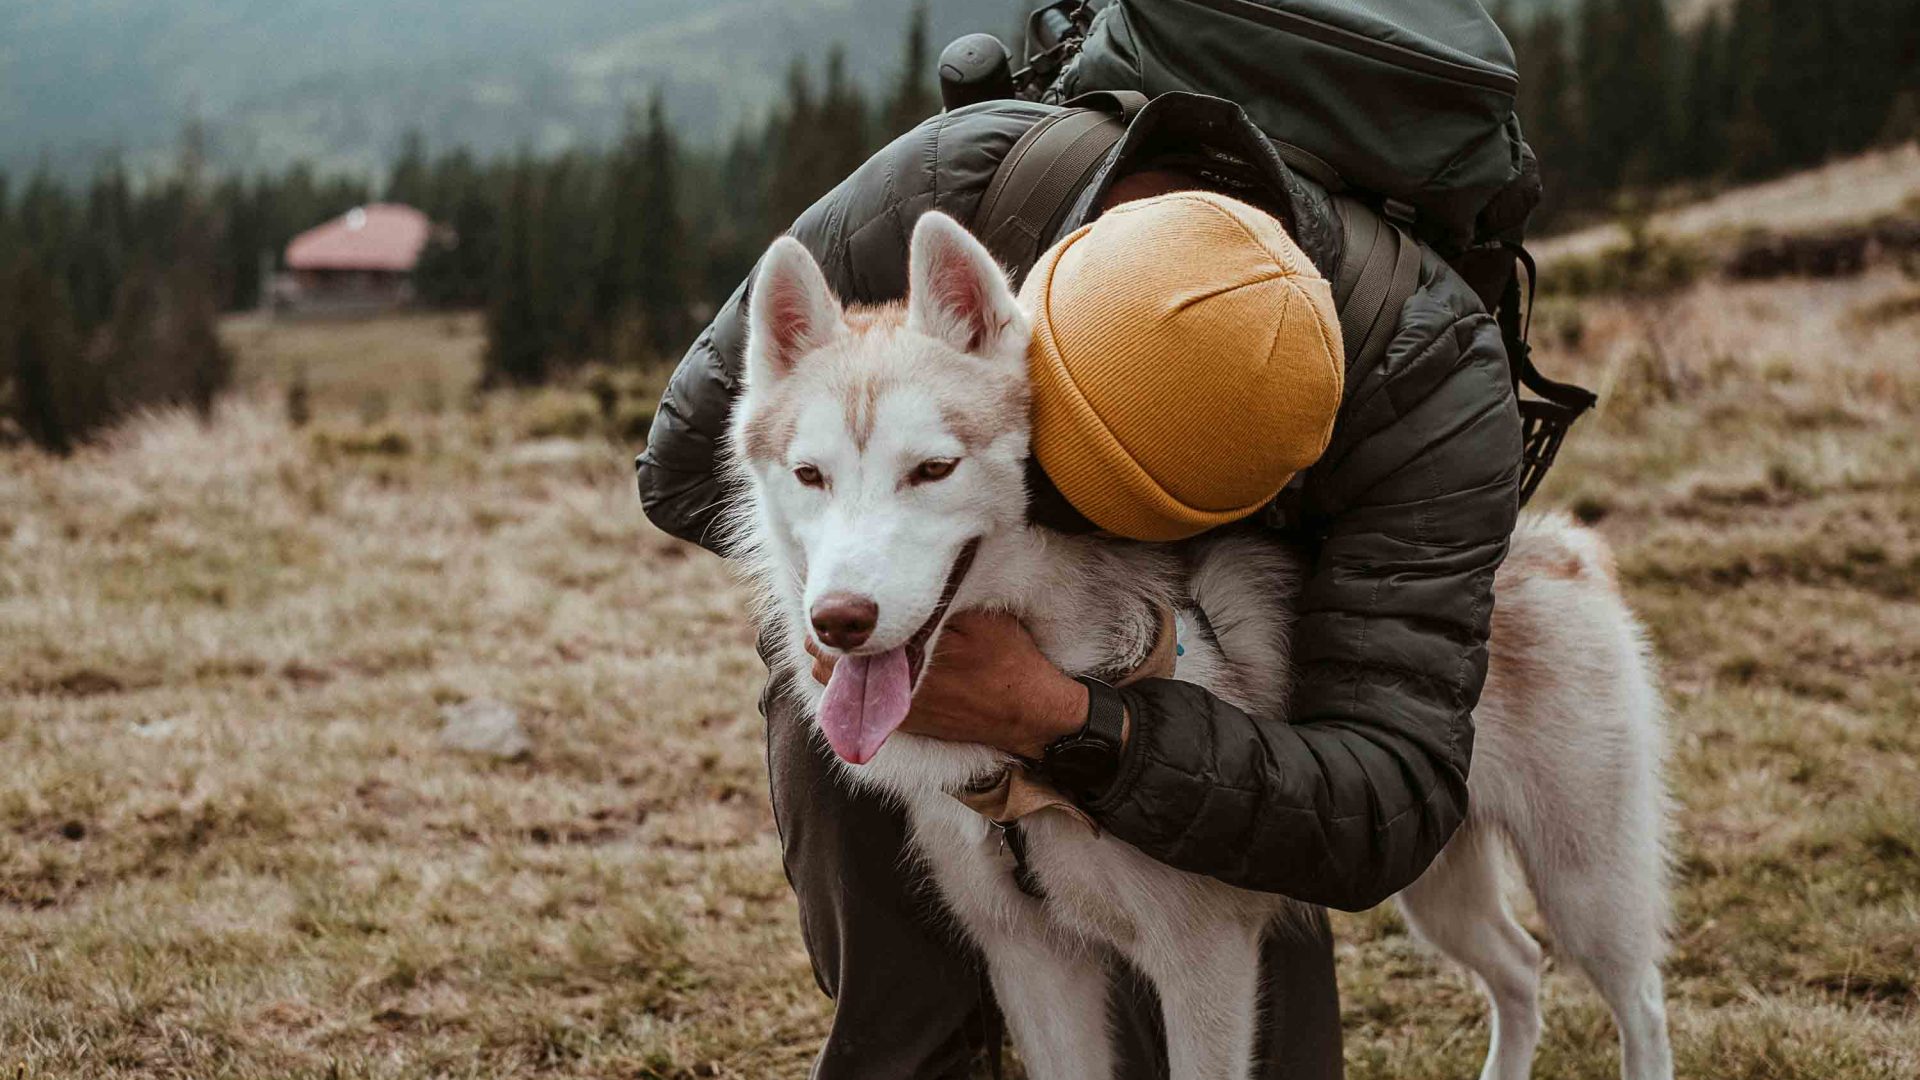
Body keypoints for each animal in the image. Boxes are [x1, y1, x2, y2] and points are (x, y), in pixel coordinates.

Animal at [725, 212, 1674, 1076]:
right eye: (810, 476)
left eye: (932, 470)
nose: (839, 620)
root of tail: (1555, 542)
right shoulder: (1032, 962)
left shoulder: (1204, 961)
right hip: (1433, 880)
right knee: (1519, 967)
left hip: (1585, 884)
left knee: (1639, 1001)